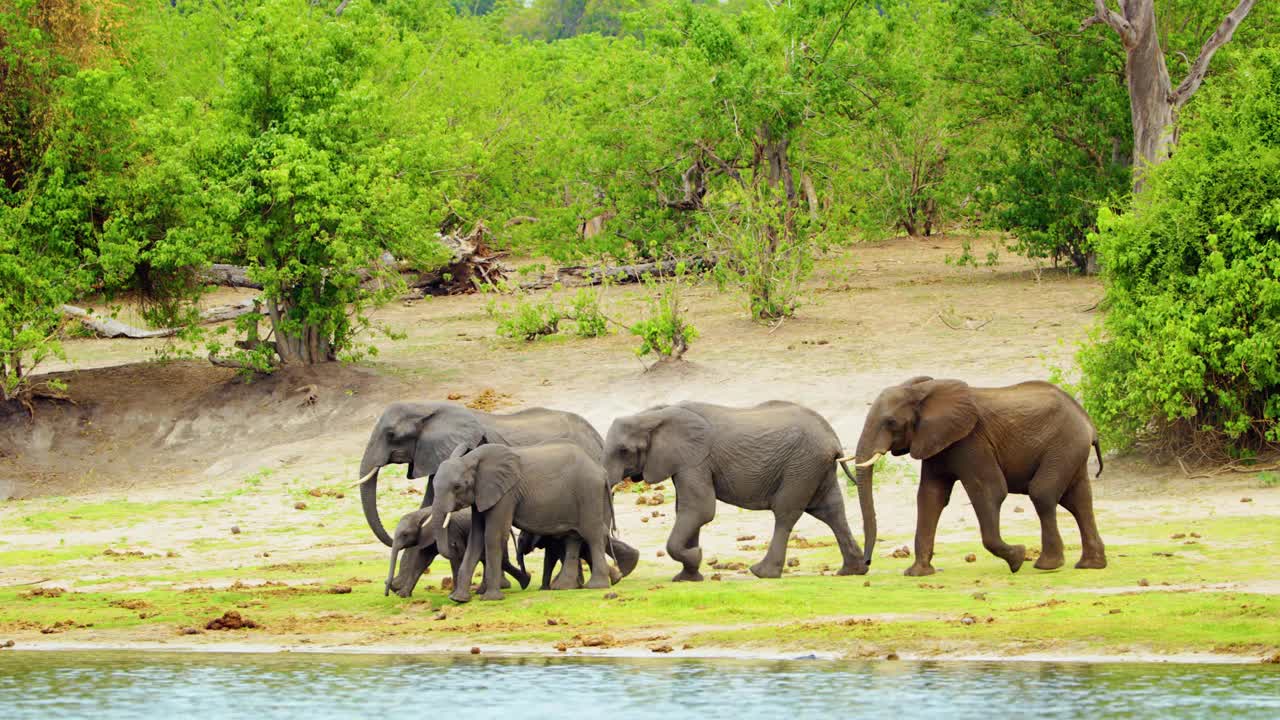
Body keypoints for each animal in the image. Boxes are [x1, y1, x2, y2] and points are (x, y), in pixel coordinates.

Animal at [381, 502, 527, 597]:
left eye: (405, 535)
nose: (386, 594)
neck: (422, 514)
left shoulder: (451, 531)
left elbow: (456, 557)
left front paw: (452, 594)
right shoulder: (427, 537)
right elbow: (422, 561)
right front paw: (403, 595)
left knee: (497, 559)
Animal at [424, 440, 619, 602]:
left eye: (457, 487)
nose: (453, 545)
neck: (471, 459)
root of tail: (601, 470)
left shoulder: (506, 494)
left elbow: (493, 536)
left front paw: (491, 599)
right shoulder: (482, 495)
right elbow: (476, 538)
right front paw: (458, 599)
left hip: (589, 492)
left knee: (592, 534)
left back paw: (596, 586)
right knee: (573, 537)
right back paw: (565, 587)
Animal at [604, 399, 875, 579]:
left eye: (624, 451)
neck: (652, 414)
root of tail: (834, 439)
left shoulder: (695, 460)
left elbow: (700, 510)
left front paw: (696, 556)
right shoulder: (686, 463)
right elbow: (688, 509)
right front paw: (688, 577)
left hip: (802, 466)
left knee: (786, 513)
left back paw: (762, 573)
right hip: (816, 468)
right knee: (831, 511)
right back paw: (852, 571)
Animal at [849, 376, 1100, 571]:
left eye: (890, 422)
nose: (867, 563)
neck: (924, 393)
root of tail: (1088, 421)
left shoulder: (971, 441)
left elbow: (989, 491)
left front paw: (1018, 558)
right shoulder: (937, 442)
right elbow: (930, 497)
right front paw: (917, 572)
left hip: (1064, 444)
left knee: (1042, 493)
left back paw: (1047, 566)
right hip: (1071, 449)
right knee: (1078, 500)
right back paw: (1090, 565)